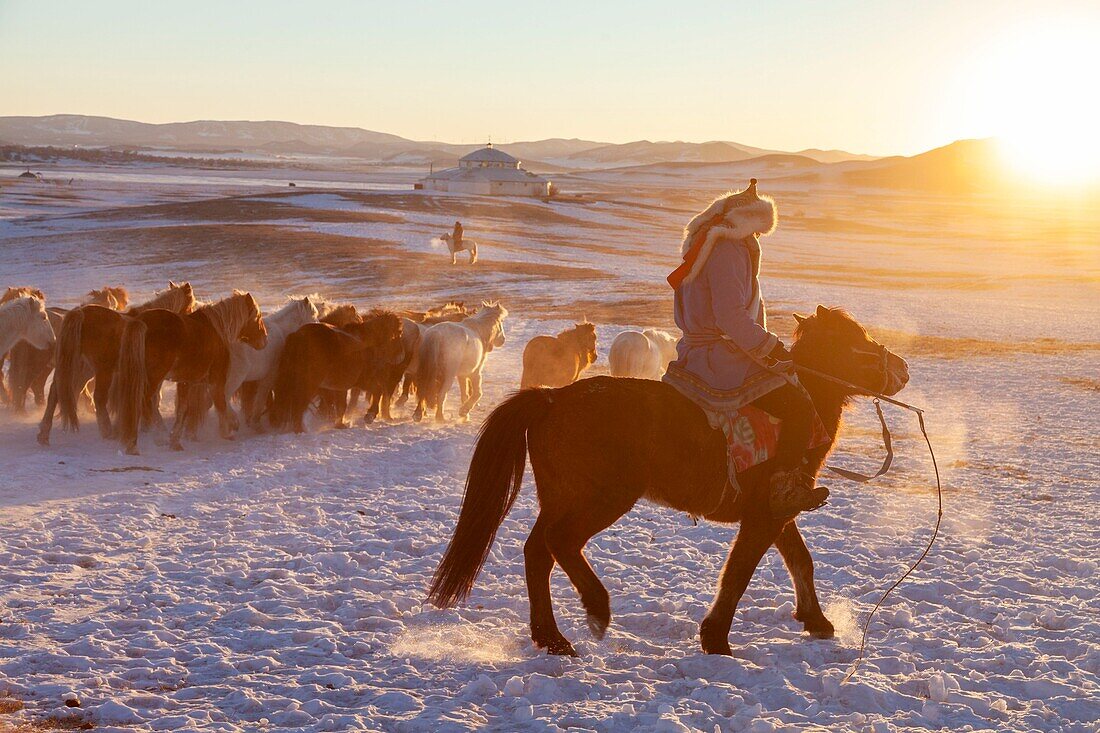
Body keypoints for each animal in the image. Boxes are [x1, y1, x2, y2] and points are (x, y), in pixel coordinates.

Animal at [38, 280, 198, 444]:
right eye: (190, 304)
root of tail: (80, 313)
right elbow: (152, 398)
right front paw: (151, 426)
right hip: (101, 370)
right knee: (97, 397)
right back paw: (107, 431)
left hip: (81, 368)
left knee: (57, 392)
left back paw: (45, 432)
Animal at [272, 310, 407, 433]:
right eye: (397, 335)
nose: (401, 355)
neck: (365, 343)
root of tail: (299, 335)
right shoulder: (361, 381)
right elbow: (377, 390)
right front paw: (370, 415)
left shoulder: (341, 386)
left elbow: (341, 405)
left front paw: (339, 424)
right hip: (309, 384)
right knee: (299, 404)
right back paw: (299, 430)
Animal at [429, 305, 910, 651]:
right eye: (856, 341)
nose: (902, 369)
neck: (803, 407)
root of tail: (552, 397)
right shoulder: (762, 515)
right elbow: (740, 572)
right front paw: (716, 638)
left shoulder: (777, 512)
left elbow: (800, 560)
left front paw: (817, 620)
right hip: (603, 498)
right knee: (560, 542)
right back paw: (596, 611)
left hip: (561, 498)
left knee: (537, 552)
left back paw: (552, 638)